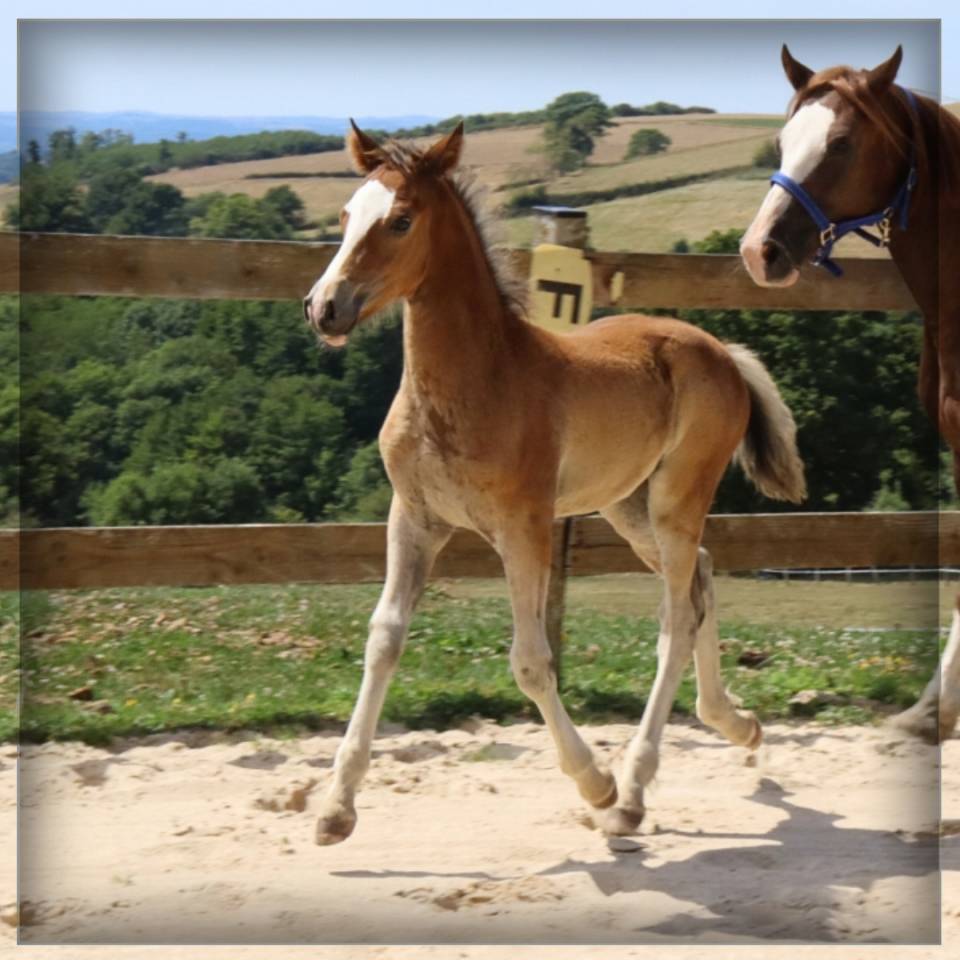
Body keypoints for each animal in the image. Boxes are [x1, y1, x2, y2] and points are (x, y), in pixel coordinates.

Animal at [302, 120, 806, 845]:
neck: (474, 382)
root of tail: (725, 354)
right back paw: (734, 722)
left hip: (677, 500)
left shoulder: (525, 529)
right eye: (345, 215)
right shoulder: (415, 518)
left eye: (400, 220)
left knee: (677, 618)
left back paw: (632, 793)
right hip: (629, 507)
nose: (324, 308)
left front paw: (596, 782)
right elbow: (383, 640)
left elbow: (532, 661)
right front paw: (336, 808)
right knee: (704, 578)